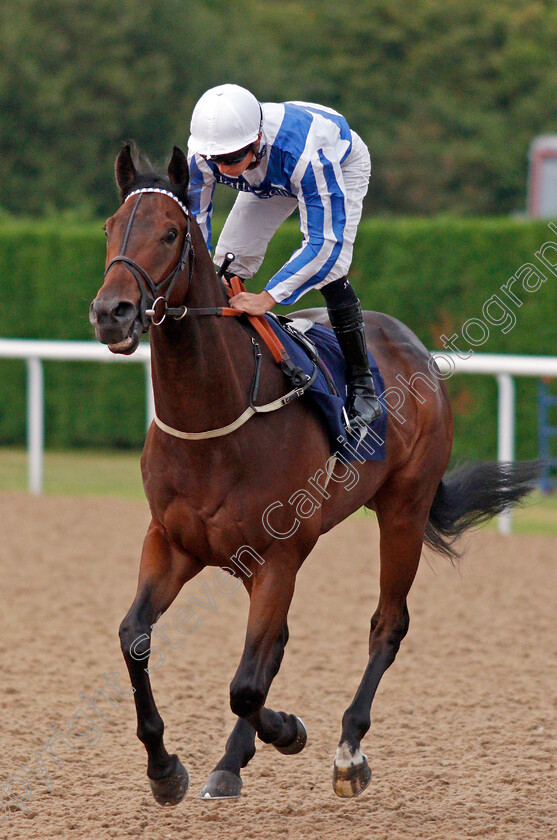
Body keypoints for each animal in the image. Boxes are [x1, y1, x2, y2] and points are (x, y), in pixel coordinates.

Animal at [90, 148, 536, 804]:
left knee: (385, 625)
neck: (214, 423)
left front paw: (290, 732)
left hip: (402, 509)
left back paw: (348, 752)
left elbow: (246, 686)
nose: (111, 313)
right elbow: (135, 638)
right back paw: (233, 760)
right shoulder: (173, 542)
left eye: (170, 233)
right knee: (272, 648)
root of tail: (412, 345)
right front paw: (165, 768)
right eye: (109, 228)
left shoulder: (278, 556)